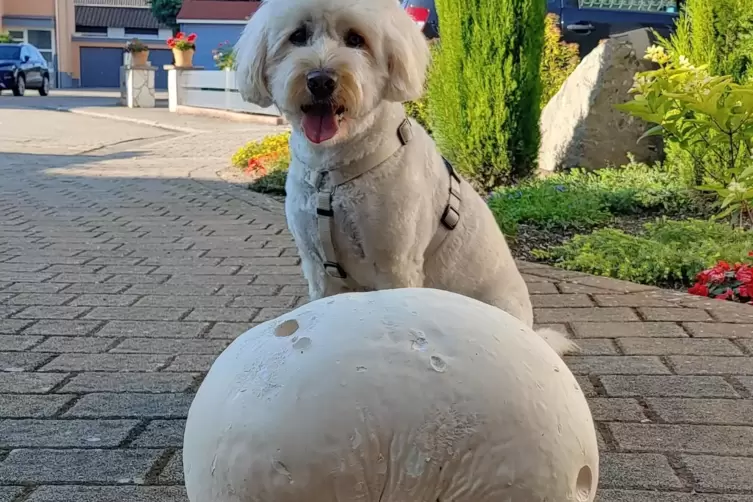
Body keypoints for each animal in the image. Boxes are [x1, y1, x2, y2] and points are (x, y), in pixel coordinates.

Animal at [235, 0, 576, 356]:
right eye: (298, 36)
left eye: (355, 39)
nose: (321, 80)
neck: (332, 175)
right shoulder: (318, 267)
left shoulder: (395, 264)